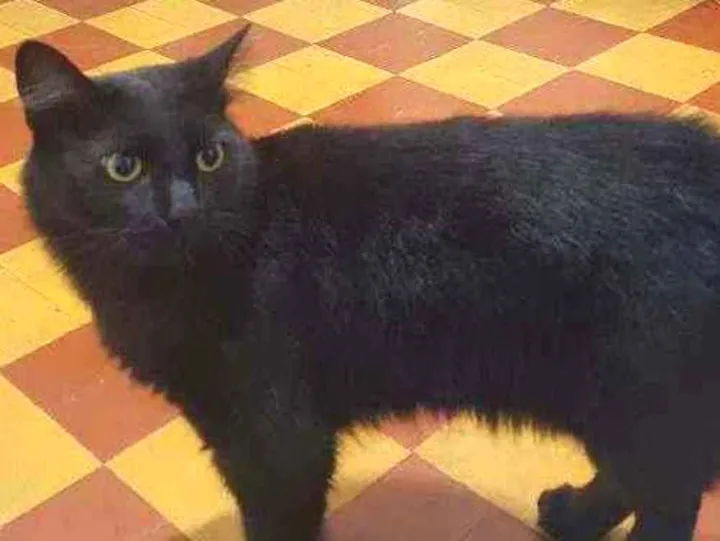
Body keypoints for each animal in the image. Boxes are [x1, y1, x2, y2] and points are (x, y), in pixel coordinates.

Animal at [14, 26, 720, 541]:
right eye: (123, 168)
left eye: (209, 158)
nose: (185, 209)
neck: (165, 290)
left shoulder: (279, 443)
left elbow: (275, 525)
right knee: (635, 478)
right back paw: (574, 518)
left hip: (640, 395)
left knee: (669, 499)